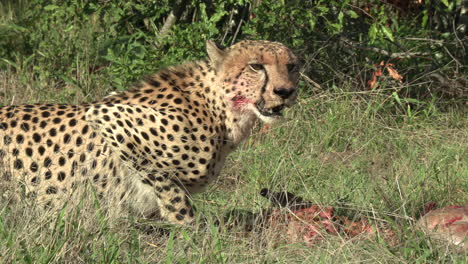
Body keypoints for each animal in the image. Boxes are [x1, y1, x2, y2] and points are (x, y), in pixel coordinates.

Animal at [0, 39, 300, 225]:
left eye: (292, 66)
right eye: (255, 66)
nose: (285, 91)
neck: (220, 108)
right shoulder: (107, 116)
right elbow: (177, 202)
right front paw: (188, 232)